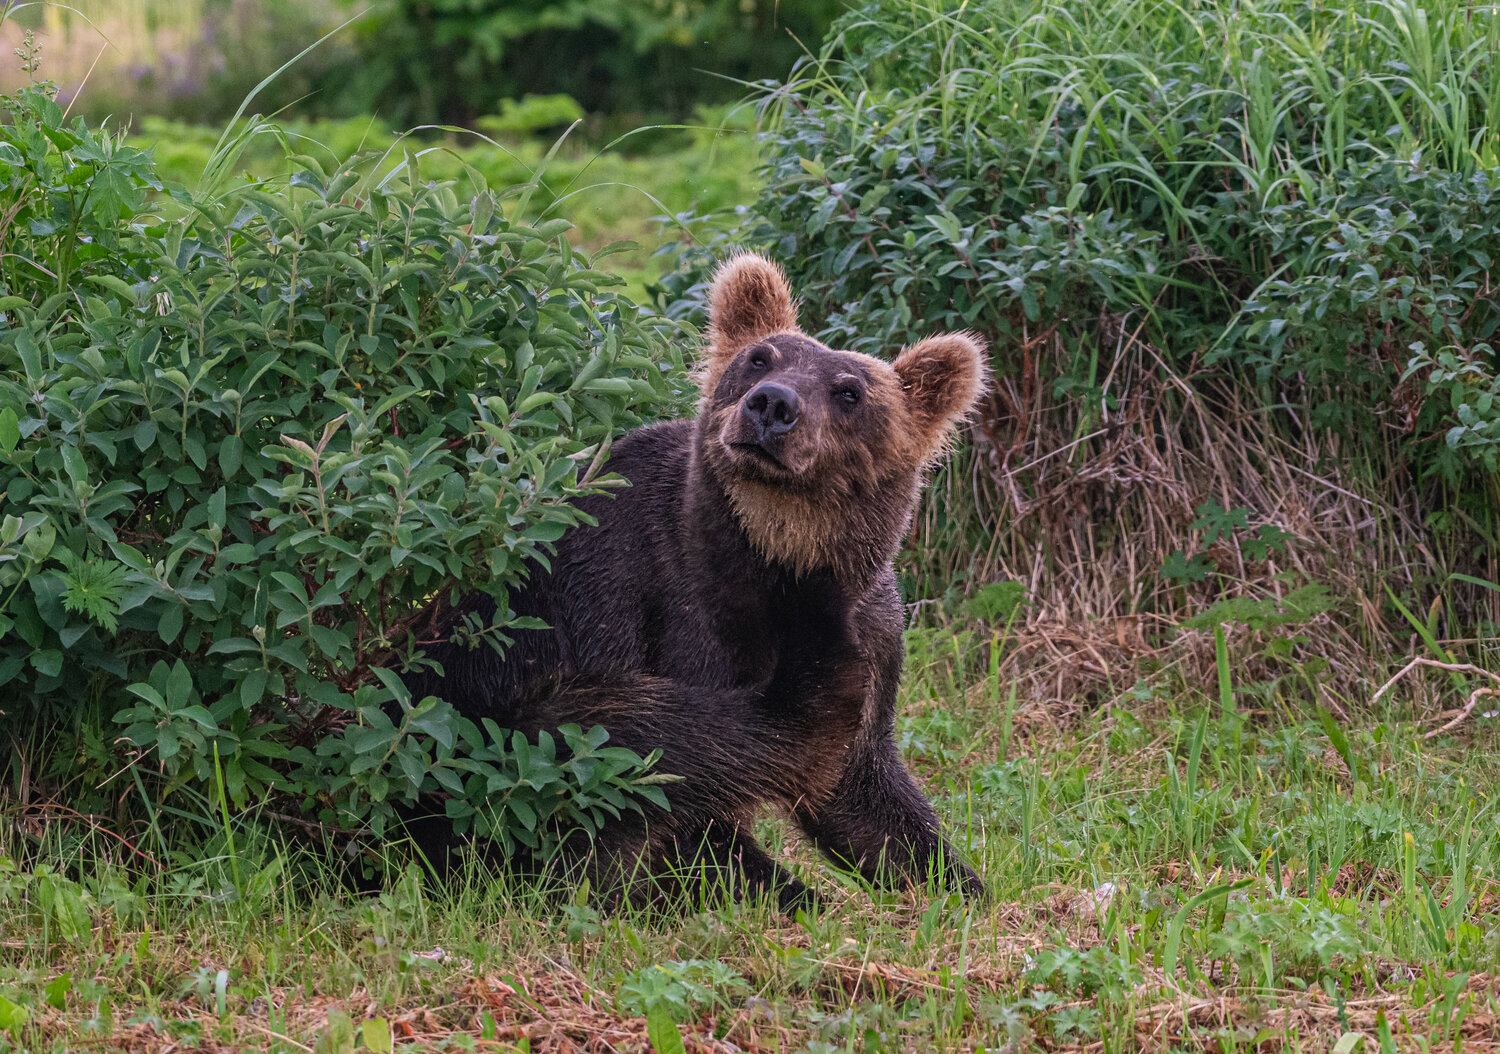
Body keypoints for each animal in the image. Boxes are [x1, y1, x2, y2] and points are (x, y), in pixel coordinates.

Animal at [403, 253, 987, 911]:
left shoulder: (876, 629)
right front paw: (781, 890)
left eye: (849, 391)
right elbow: (673, 789)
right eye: (759, 357)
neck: (777, 561)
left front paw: (955, 885)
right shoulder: (651, 594)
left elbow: (865, 789)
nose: (772, 404)